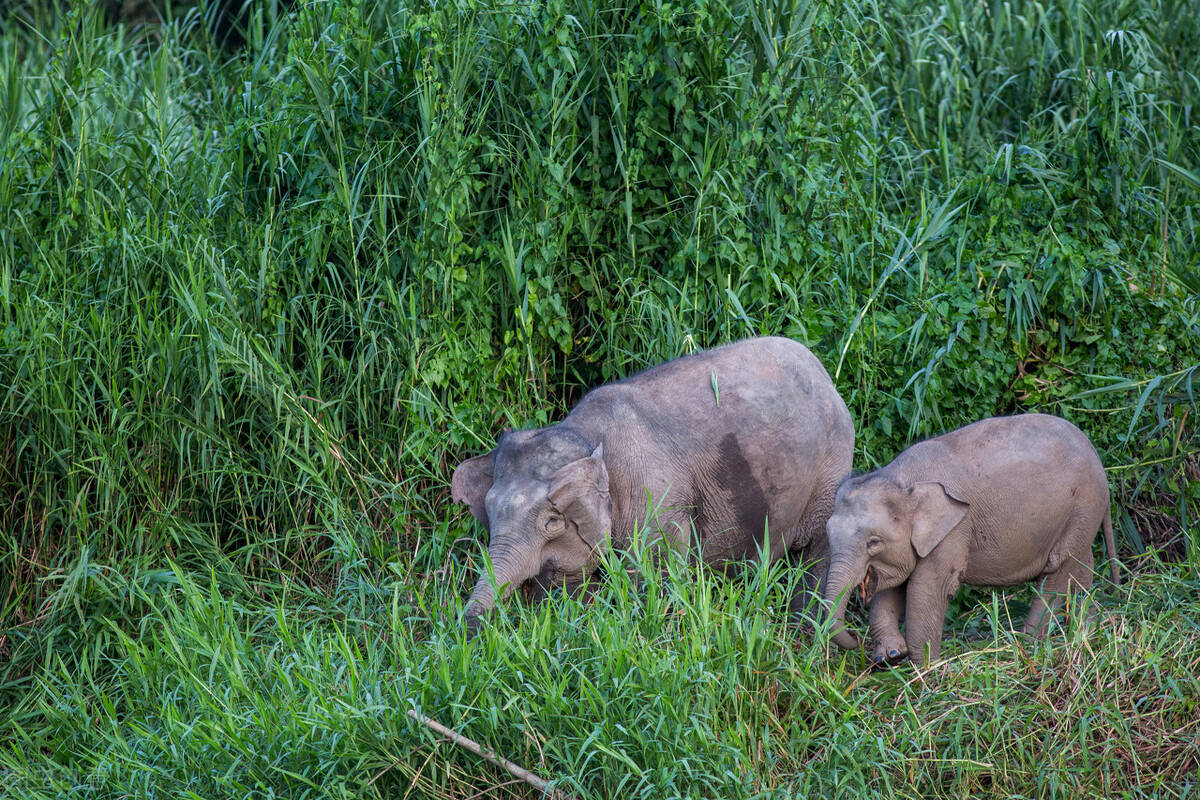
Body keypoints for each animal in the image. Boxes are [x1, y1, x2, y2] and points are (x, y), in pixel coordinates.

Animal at [451, 335, 854, 633]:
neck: (584, 436)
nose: (469, 629)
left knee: (818, 546)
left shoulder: (655, 504)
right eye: (490, 518)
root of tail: (825, 374)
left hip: (831, 470)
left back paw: (809, 629)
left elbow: (654, 584)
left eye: (552, 522)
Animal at [825, 412, 1113, 662]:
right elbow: (893, 587)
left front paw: (926, 670)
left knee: (1058, 570)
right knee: (1080, 567)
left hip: (1082, 508)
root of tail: (1095, 453)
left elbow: (928, 588)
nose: (856, 638)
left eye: (873, 542)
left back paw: (1029, 643)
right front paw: (891, 656)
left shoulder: (956, 528)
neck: (901, 480)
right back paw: (1090, 628)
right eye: (828, 534)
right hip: (1082, 518)